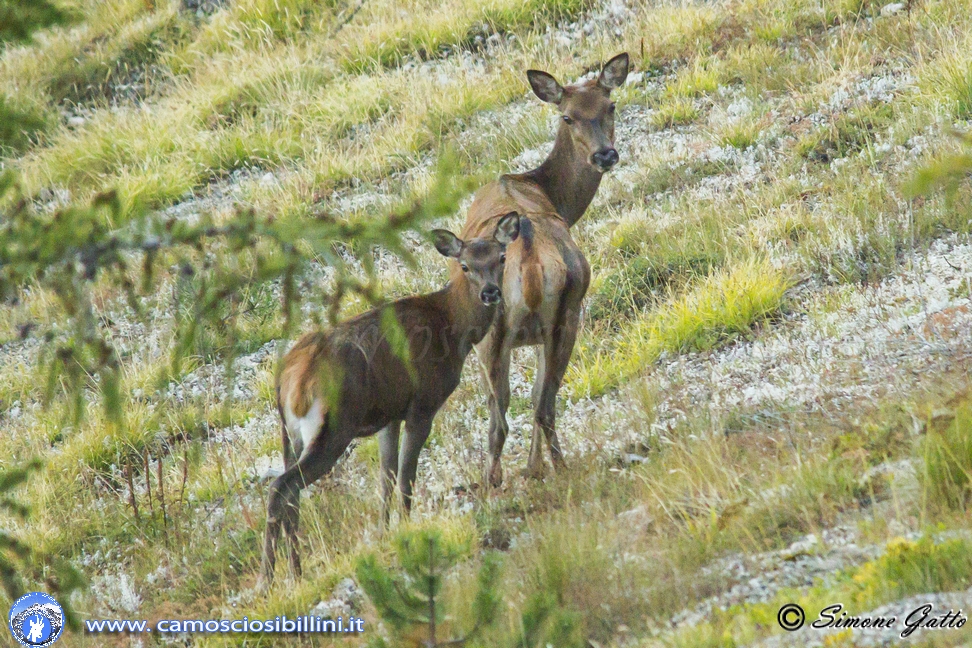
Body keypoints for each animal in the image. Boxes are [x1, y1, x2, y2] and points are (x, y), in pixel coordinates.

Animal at [254, 213, 520, 588]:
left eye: (501, 257)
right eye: (465, 265)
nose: (490, 292)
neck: (453, 329)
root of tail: (288, 380)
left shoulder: (389, 415)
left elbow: (386, 477)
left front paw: (384, 531)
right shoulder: (423, 402)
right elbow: (407, 475)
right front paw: (407, 527)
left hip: (289, 435)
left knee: (292, 496)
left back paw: (296, 572)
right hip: (332, 427)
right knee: (281, 488)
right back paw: (267, 580)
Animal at [462, 52, 632, 486]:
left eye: (610, 106)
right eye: (567, 116)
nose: (604, 155)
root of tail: (533, 263)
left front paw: (531, 468)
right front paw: (535, 467)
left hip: (495, 330)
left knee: (504, 417)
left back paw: (497, 483)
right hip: (567, 314)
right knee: (543, 402)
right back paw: (554, 468)